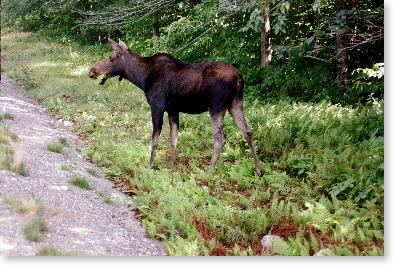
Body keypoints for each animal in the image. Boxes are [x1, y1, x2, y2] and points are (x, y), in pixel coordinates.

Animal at [87, 38, 262, 175]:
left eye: (111, 57)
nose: (92, 70)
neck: (142, 78)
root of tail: (239, 79)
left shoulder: (157, 106)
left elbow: (155, 139)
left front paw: (151, 166)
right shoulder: (173, 109)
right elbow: (174, 137)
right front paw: (172, 163)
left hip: (216, 107)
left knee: (220, 139)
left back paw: (209, 171)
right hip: (236, 104)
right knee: (248, 132)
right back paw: (259, 170)